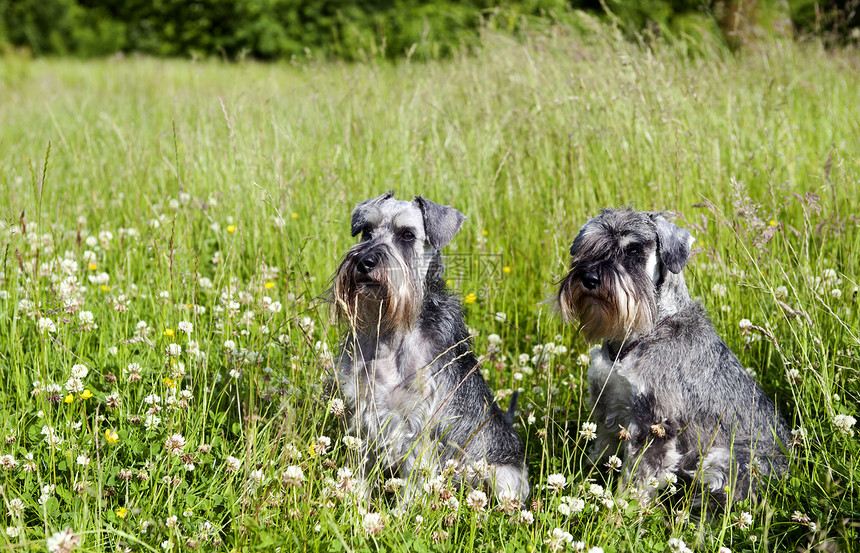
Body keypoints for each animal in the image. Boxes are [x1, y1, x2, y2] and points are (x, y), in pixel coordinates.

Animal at [332, 192, 528, 502]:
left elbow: (413, 483)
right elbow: (362, 467)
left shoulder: (418, 428)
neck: (392, 335)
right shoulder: (364, 413)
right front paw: (356, 502)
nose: (364, 261)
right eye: (366, 231)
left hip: (501, 476)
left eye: (407, 234)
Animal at [556, 207, 792, 504]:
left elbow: (639, 477)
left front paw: (623, 509)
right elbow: (601, 452)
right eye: (589, 245)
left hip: (725, 459)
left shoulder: (654, 424)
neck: (634, 338)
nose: (589, 279)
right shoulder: (608, 408)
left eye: (633, 250)